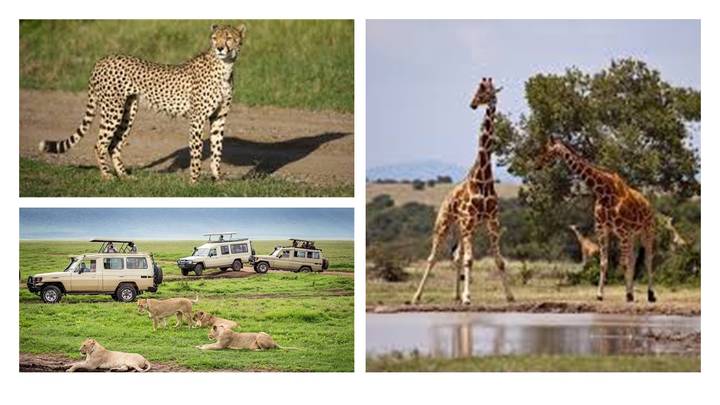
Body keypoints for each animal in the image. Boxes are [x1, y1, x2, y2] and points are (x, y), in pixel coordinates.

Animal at [39, 24, 246, 183]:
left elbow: (217, 150)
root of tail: (102, 59)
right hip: (112, 110)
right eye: (214, 38)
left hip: (128, 112)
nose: (220, 48)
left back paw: (125, 176)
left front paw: (218, 179)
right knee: (100, 145)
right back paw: (107, 176)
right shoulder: (197, 118)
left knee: (114, 145)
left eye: (228, 37)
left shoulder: (219, 117)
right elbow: (197, 151)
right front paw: (194, 182)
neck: (225, 66)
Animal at [411, 77, 514, 305]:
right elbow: (469, 260)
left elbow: (499, 261)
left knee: (457, 256)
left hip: (464, 228)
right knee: (434, 257)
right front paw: (468, 297)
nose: (473, 104)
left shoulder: (492, 221)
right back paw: (416, 296)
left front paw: (510, 296)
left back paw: (456, 295)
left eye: (486, 92)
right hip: (444, 224)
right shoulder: (468, 221)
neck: (483, 178)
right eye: (478, 90)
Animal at [537, 138, 656, 302]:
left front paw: (628, 295)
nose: (537, 165)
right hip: (633, 235)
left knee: (648, 259)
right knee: (633, 259)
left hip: (647, 230)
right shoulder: (603, 229)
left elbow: (623, 263)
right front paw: (600, 294)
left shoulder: (622, 231)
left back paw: (651, 295)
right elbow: (604, 263)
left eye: (548, 150)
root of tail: (648, 204)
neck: (602, 191)